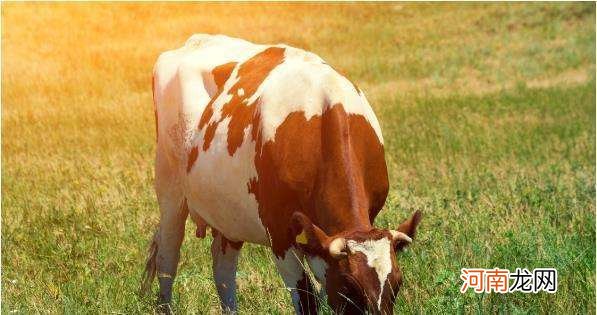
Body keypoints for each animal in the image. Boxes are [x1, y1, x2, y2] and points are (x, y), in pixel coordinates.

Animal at [140, 33, 422, 314]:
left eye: (398, 283)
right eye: (349, 286)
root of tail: (197, 40)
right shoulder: (278, 230)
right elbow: (305, 296)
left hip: (228, 211)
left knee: (223, 269)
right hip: (169, 188)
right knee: (167, 258)